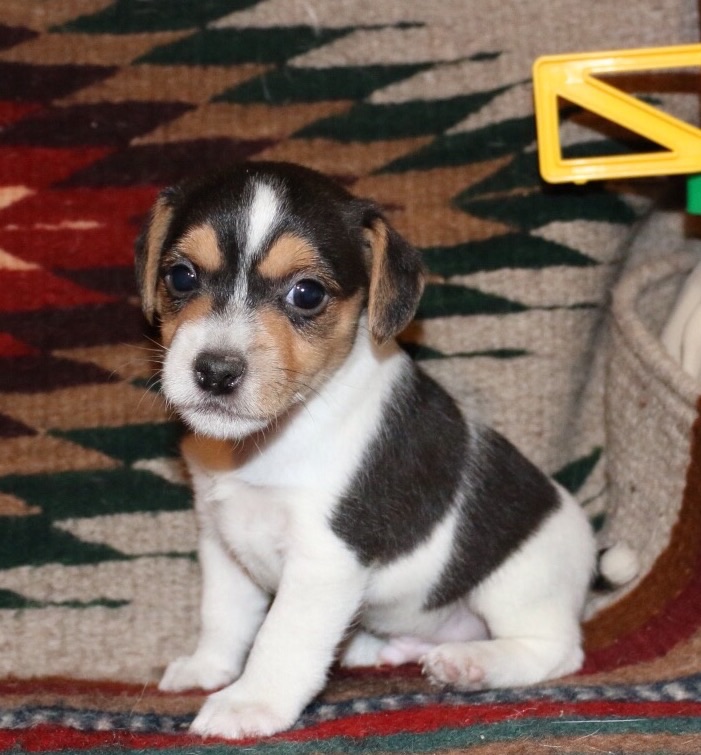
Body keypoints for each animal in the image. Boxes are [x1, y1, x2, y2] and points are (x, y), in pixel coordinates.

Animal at [135, 161, 613, 739]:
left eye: (307, 293)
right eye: (182, 276)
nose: (215, 371)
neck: (269, 441)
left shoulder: (325, 559)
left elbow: (280, 639)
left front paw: (249, 703)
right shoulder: (222, 541)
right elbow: (223, 617)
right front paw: (210, 669)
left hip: (521, 583)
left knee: (557, 650)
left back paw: (473, 664)